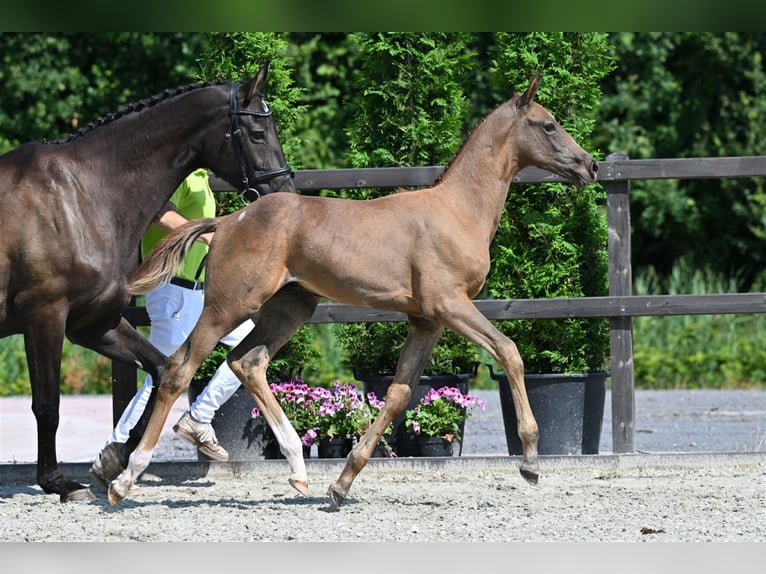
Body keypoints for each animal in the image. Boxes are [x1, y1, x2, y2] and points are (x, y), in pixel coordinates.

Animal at [0, 60, 296, 502]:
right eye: (258, 133)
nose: (285, 194)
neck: (80, 196)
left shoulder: (92, 324)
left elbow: (160, 372)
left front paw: (117, 460)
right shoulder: (44, 317)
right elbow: (47, 405)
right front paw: (57, 481)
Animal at [109, 75, 600, 508]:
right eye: (549, 124)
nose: (590, 166)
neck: (457, 211)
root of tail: (229, 221)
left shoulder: (426, 320)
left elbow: (399, 393)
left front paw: (342, 484)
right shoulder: (451, 305)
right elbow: (509, 352)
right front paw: (531, 462)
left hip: (291, 307)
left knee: (247, 361)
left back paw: (298, 471)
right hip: (228, 305)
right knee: (178, 369)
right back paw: (124, 480)